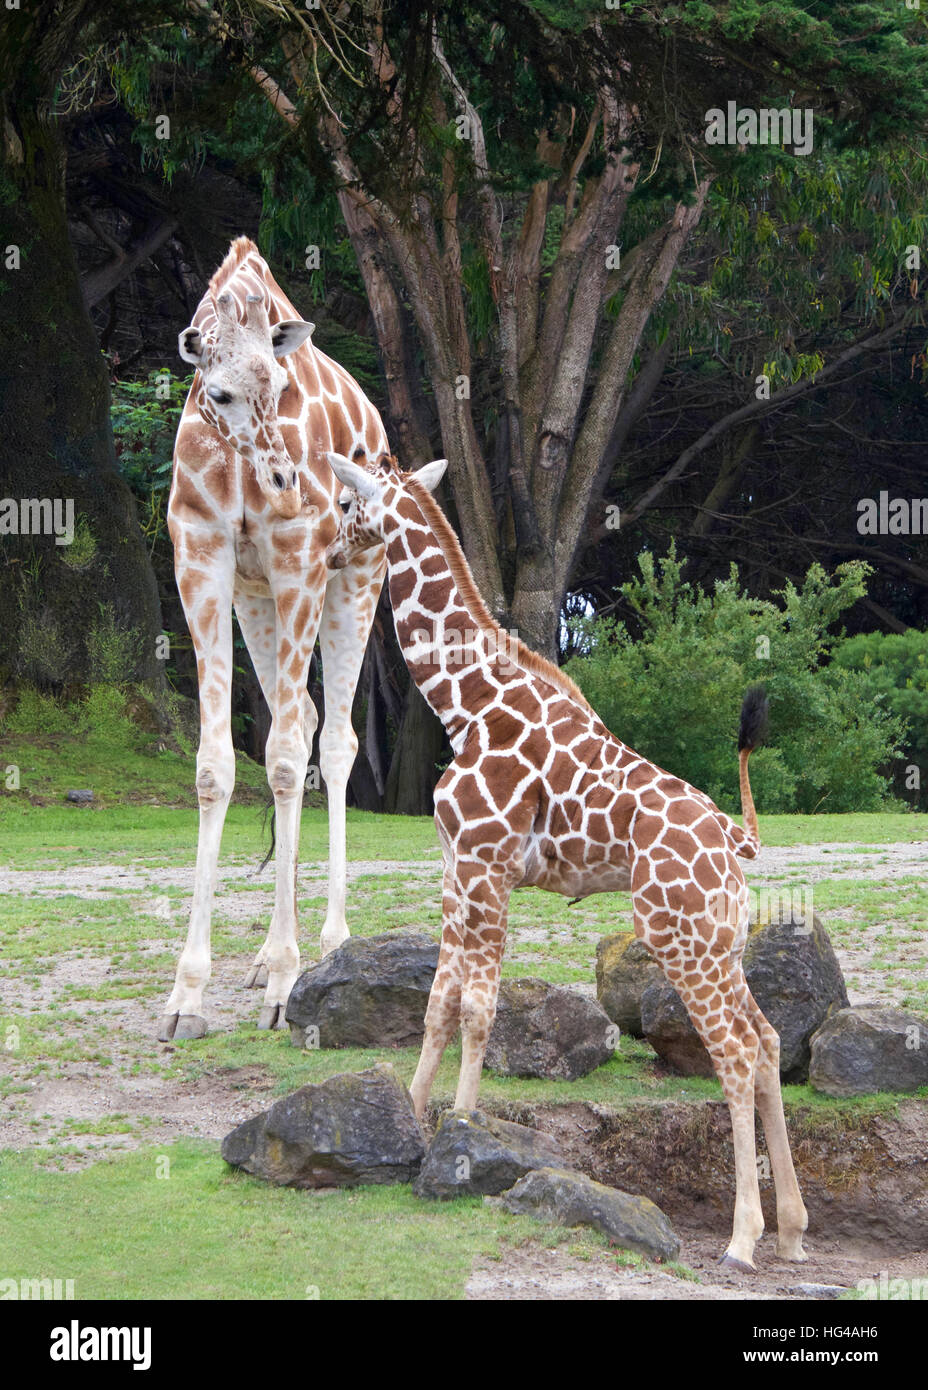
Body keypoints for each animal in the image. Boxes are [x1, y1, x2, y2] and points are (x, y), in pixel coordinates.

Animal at [159, 239, 388, 1039]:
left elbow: (290, 758)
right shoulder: (201, 558)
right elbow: (216, 766)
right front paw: (186, 997)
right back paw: (264, 954)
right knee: (308, 720)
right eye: (220, 394)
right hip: (256, 600)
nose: (288, 479)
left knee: (337, 738)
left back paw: (329, 945)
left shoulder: (299, 558)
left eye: (282, 385)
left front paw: (288, 987)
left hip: (357, 574)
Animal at [325, 447, 805, 1273]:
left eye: (351, 504)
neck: (465, 702)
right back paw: (795, 1230)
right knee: (770, 1040)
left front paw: (461, 1134)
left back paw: (743, 1239)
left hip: (678, 938)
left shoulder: (487, 865)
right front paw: (409, 1120)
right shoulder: (455, 868)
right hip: (721, 943)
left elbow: (480, 1008)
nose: (327, 550)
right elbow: (438, 1001)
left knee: (737, 1054)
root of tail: (732, 842)